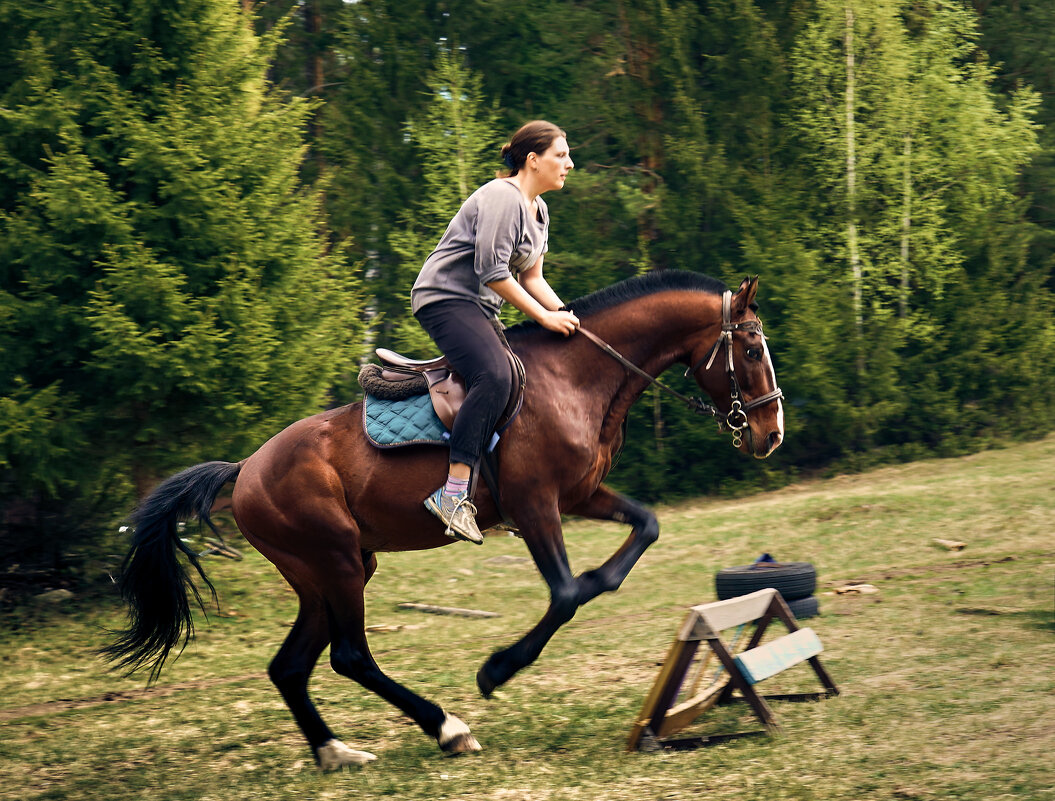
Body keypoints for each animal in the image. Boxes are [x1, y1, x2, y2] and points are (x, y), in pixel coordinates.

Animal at [104, 274, 784, 772]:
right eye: (752, 350)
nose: (770, 434)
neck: (575, 380)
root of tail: (246, 467)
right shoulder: (537, 503)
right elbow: (567, 593)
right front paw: (497, 669)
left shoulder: (582, 493)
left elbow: (643, 531)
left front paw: (594, 586)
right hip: (336, 561)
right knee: (350, 655)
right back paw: (447, 727)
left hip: (327, 571)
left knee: (290, 666)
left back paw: (336, 751)